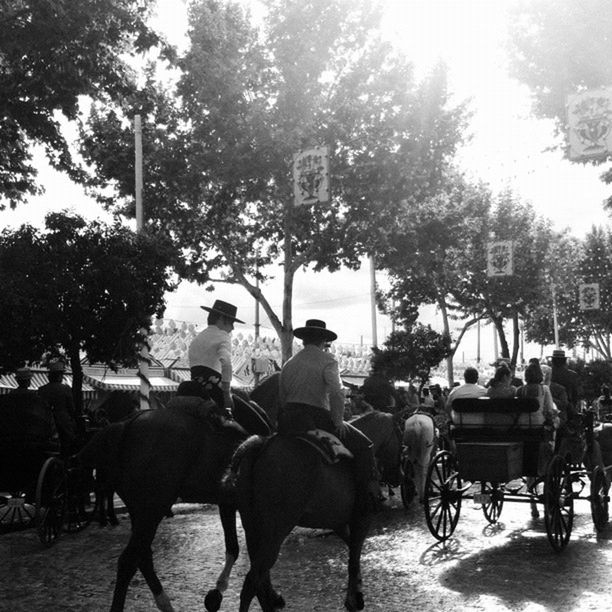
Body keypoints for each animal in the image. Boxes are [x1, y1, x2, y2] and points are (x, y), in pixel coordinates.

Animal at [77, 394, 268, 608]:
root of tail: (126, 423)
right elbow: (252, 556)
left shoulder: (228, 503)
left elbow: (235, 548)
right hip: (152, 509)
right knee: (128, 561)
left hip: (141, 511)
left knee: (143, 556)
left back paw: (164, 602)